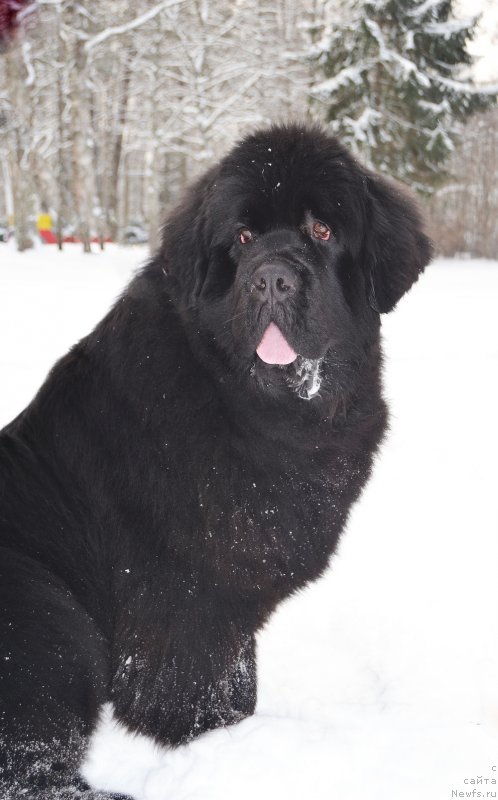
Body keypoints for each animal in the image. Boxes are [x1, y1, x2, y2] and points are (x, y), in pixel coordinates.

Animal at [0, 122, 432, 796]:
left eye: (322, 230)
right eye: (244, 238)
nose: (272, 279)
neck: (263, 410)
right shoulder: (187, 595)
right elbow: (206, 683)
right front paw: (220, 742)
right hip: (50, 617)